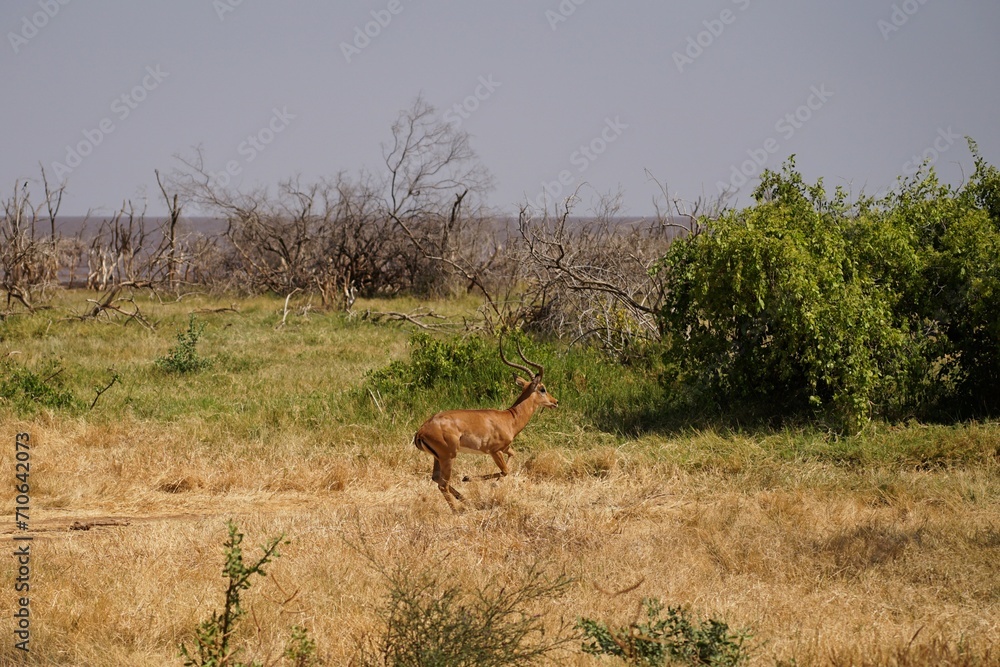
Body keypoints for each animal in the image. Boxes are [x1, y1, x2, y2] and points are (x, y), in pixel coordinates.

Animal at [413, 337, 558, 512]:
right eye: (542, 389)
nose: (555, 402)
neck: (509, 418)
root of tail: (421, 431)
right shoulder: (494, 451)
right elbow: (505, 470)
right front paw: (470, 478)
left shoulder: (505, 448)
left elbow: (512, 457)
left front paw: (477, 480)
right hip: (448, 457)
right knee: (443, 484)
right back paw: (457, 510)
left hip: (438, 457)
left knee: (436, 479)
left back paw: (466, 501)